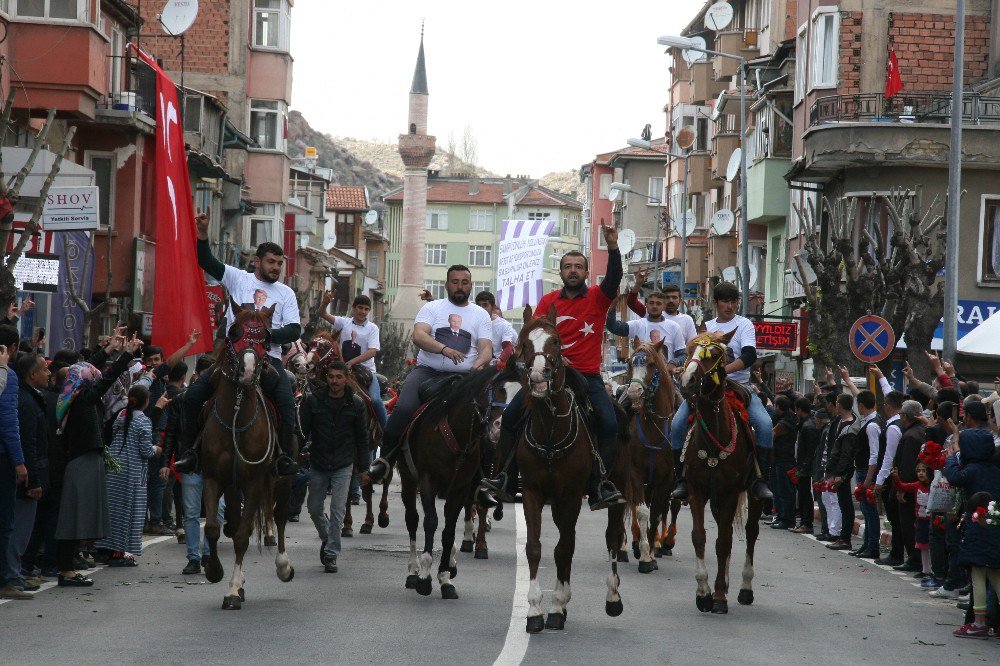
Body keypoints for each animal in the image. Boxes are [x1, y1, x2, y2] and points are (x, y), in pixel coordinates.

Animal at [200, 300, 294, 608]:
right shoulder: (212, 477)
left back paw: (283, 566)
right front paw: (215, 571)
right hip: (233, 485)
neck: (237, 415)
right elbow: (214, 528)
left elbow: (242, 536)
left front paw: (231, 590)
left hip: (283, 477)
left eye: (266, 338)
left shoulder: (254, 482)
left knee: (279, 516)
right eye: (234, 332)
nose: (249, 371)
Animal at [392, 366, 498, 600]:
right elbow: (431, 522)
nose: (497, 430)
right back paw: (412, 572)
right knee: (412, 519)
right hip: (408, 480)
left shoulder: (460, 487)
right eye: (496, 392)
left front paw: (445, 577)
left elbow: (449, 529)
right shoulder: (427, 481)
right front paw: (424, 578)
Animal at [512, 304, 628, 632]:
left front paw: (556, 605)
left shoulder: (572, 495)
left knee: (612, 537)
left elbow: (563, 549)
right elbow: (536, 547)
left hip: (617, 491)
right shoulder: (532, 492)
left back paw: (613, 598)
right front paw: (535, 610)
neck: (551, 431)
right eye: (524, 343)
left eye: (556, 342)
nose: (538, 377)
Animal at [676, 330, 760, 616]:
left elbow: (723, 542)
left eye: (713, 355)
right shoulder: (696, 490)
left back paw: (744, 589)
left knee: (751, 532)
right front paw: (704, 593)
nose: (687, 381)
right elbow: (699, 537)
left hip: (753, 495)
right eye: (688, 350)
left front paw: (720, 597)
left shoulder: (732, 492)